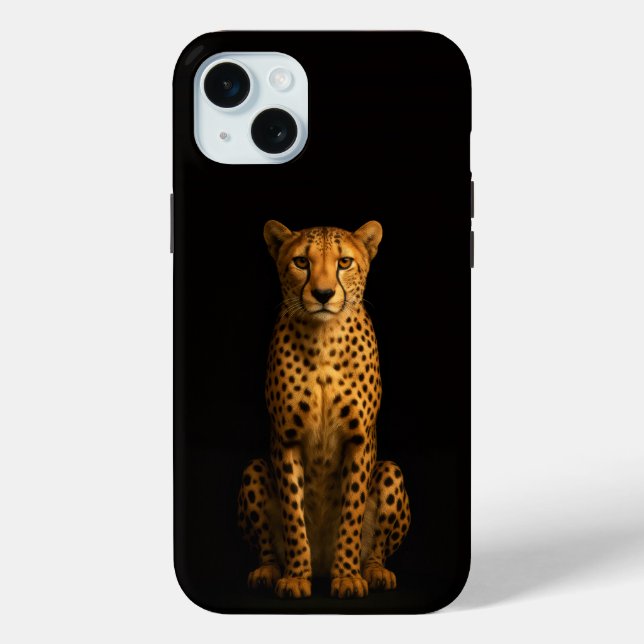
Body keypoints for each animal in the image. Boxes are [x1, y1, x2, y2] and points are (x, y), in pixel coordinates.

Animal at [237, 220, 410, 599]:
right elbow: (293, 512)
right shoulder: (287, 438)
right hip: (254, 468)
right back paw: (270, 571)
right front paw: (295, 576)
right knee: (267, 547)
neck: (324, 338)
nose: (323, 294)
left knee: (376, 549)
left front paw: (346, 575)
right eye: (302, 262)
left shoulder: (359, 440)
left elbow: (351, 510)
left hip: (391, 470)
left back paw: (374, 572)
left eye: (344, 262)